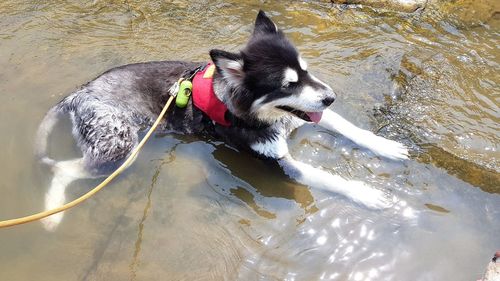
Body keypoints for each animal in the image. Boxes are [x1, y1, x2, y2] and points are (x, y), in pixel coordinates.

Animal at [35, 10, 410, 230]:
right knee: (64, 169)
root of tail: (80, 92)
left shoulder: (305, 115)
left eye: (305, 70)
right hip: (118, 149)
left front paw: (385, 146)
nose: (331, 96)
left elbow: (350, 128)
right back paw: (53, 211)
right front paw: (366, 194)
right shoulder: (275, 161)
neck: (262, 113)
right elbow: (326, 178)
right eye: (287, 84)